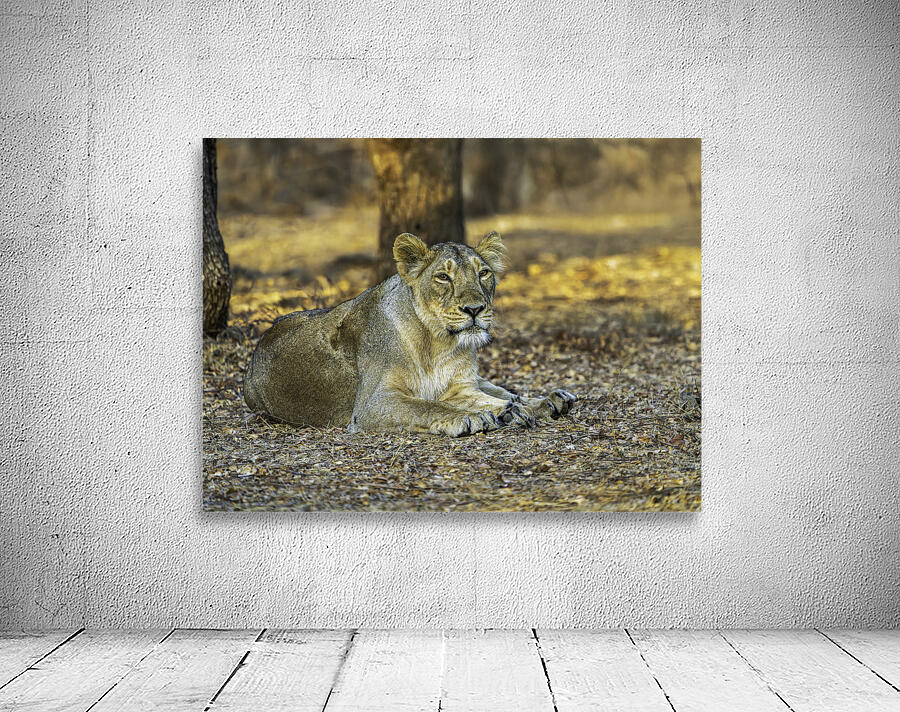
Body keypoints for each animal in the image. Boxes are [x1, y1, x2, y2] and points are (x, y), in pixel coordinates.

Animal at [242, 231, 577, 436]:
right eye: (443, 277)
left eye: (483, 273)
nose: (474, 309)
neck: (438, 343)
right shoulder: (371, 405)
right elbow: (426, 405)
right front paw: (469, 418)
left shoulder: (460, 385)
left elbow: (488, 396)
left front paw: (520, 408)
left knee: (505, 391)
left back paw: (548, 401)